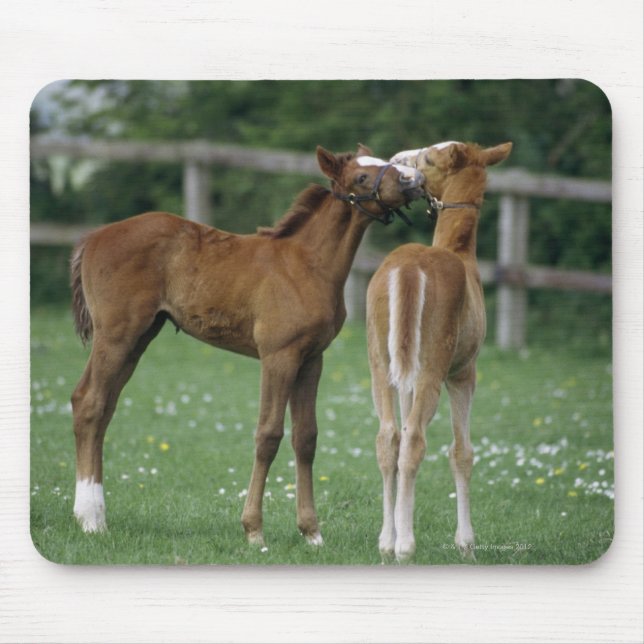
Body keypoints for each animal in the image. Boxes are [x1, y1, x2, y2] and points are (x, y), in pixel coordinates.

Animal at [69, 144, 425, 547]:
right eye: (362, 176)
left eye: (385, 163)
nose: (413, 179)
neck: (308, 265)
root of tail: (93, 238)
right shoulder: (278, 356)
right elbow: (268, 435)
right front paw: (254, 530)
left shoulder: (311, 359)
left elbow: (306, 438)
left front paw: (311, 532)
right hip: (117, 335)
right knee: (89, 403)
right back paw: (91, 519)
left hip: (139, 337)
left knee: (104, 408)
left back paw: (93, 512)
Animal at [366, 140, 513, 561]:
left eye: (429, 157)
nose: (398, 161)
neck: (459, 251)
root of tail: (408, 268)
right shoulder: (464, 372)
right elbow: (462, 452)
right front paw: (466, 543)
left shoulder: (407, 376)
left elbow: (398, 437)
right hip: (434, 365)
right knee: (415, 439)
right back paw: (406, 546)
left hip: (381, 360)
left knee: (389, 438)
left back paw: (387, 541)